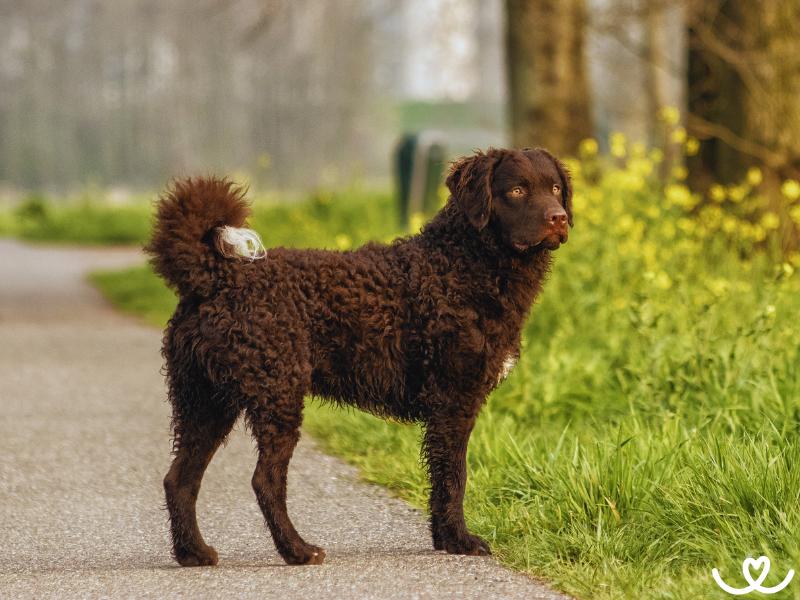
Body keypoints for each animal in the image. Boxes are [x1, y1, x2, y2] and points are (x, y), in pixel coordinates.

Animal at [147, 146, 572, 568]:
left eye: (554, 188)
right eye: (516, 190)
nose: (560, 218)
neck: (461, 264)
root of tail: (215, 277)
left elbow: (441, 478)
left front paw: (443, 538)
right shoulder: (453, 400)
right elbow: (454, 476)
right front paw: (460, 540)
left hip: (205, 402)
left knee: (179, 479)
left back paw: (193, 552)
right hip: (276, 395)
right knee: (264, 480)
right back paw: (297, 550)